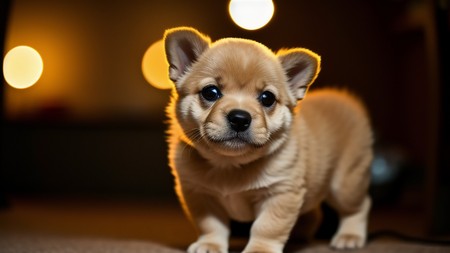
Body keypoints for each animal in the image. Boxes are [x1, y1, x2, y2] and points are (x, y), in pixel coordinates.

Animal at [163, 26, 370, 252]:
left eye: (267, 98)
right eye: (210, 92)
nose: (240, 118)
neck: (229, 165)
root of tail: (345, 99)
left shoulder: (280, 193)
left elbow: (267, 227)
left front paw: (260, 249)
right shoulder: (200, 195)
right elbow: (211, 225)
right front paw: (210, 245)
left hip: (346, 184)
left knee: (359, 206)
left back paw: (349, 236)